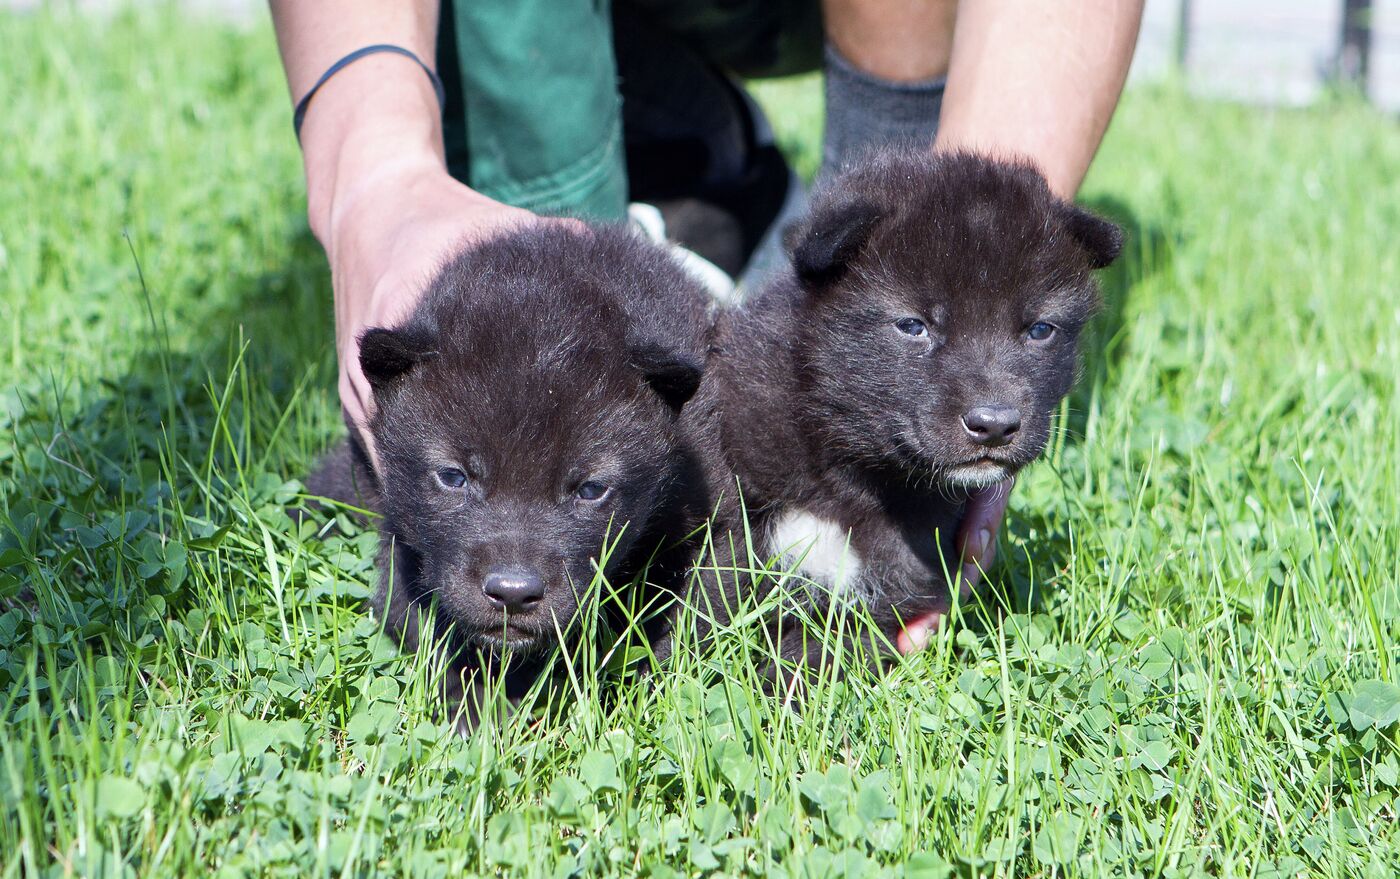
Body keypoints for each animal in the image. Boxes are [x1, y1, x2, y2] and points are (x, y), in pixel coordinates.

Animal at [306, 225, 733, 727]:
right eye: (453, 477)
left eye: (591, 489)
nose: (512, 594)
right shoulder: (404, 547)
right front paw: (478, 715)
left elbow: (686, 622)